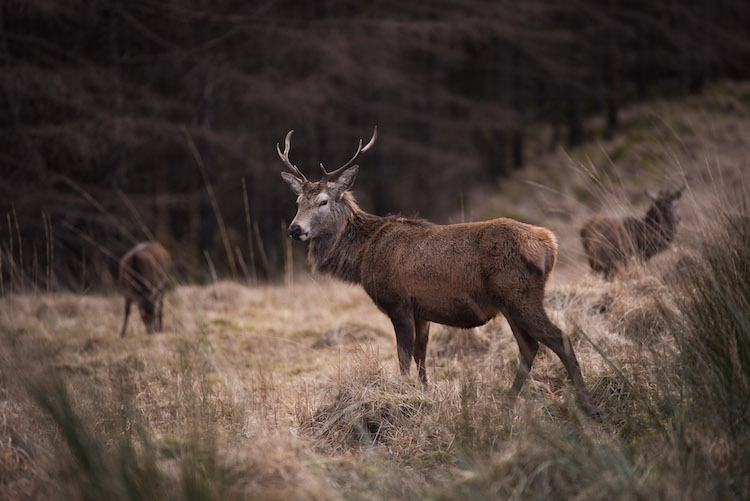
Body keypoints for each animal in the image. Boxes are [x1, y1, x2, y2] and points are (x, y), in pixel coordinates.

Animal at [280, 128, 596, 414]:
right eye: (298, 202)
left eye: (323, 201)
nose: (295, 229)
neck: (362, 257)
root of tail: (549, 244)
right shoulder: (422, 311)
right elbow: (421, 356)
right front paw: (425, 395)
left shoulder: (398, 302)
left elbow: (404, 358)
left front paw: (402, 396)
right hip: (511, 303)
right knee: (529, 348)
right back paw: (507, 404)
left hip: (519, 294)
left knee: (559, 339)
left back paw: (587, 404)